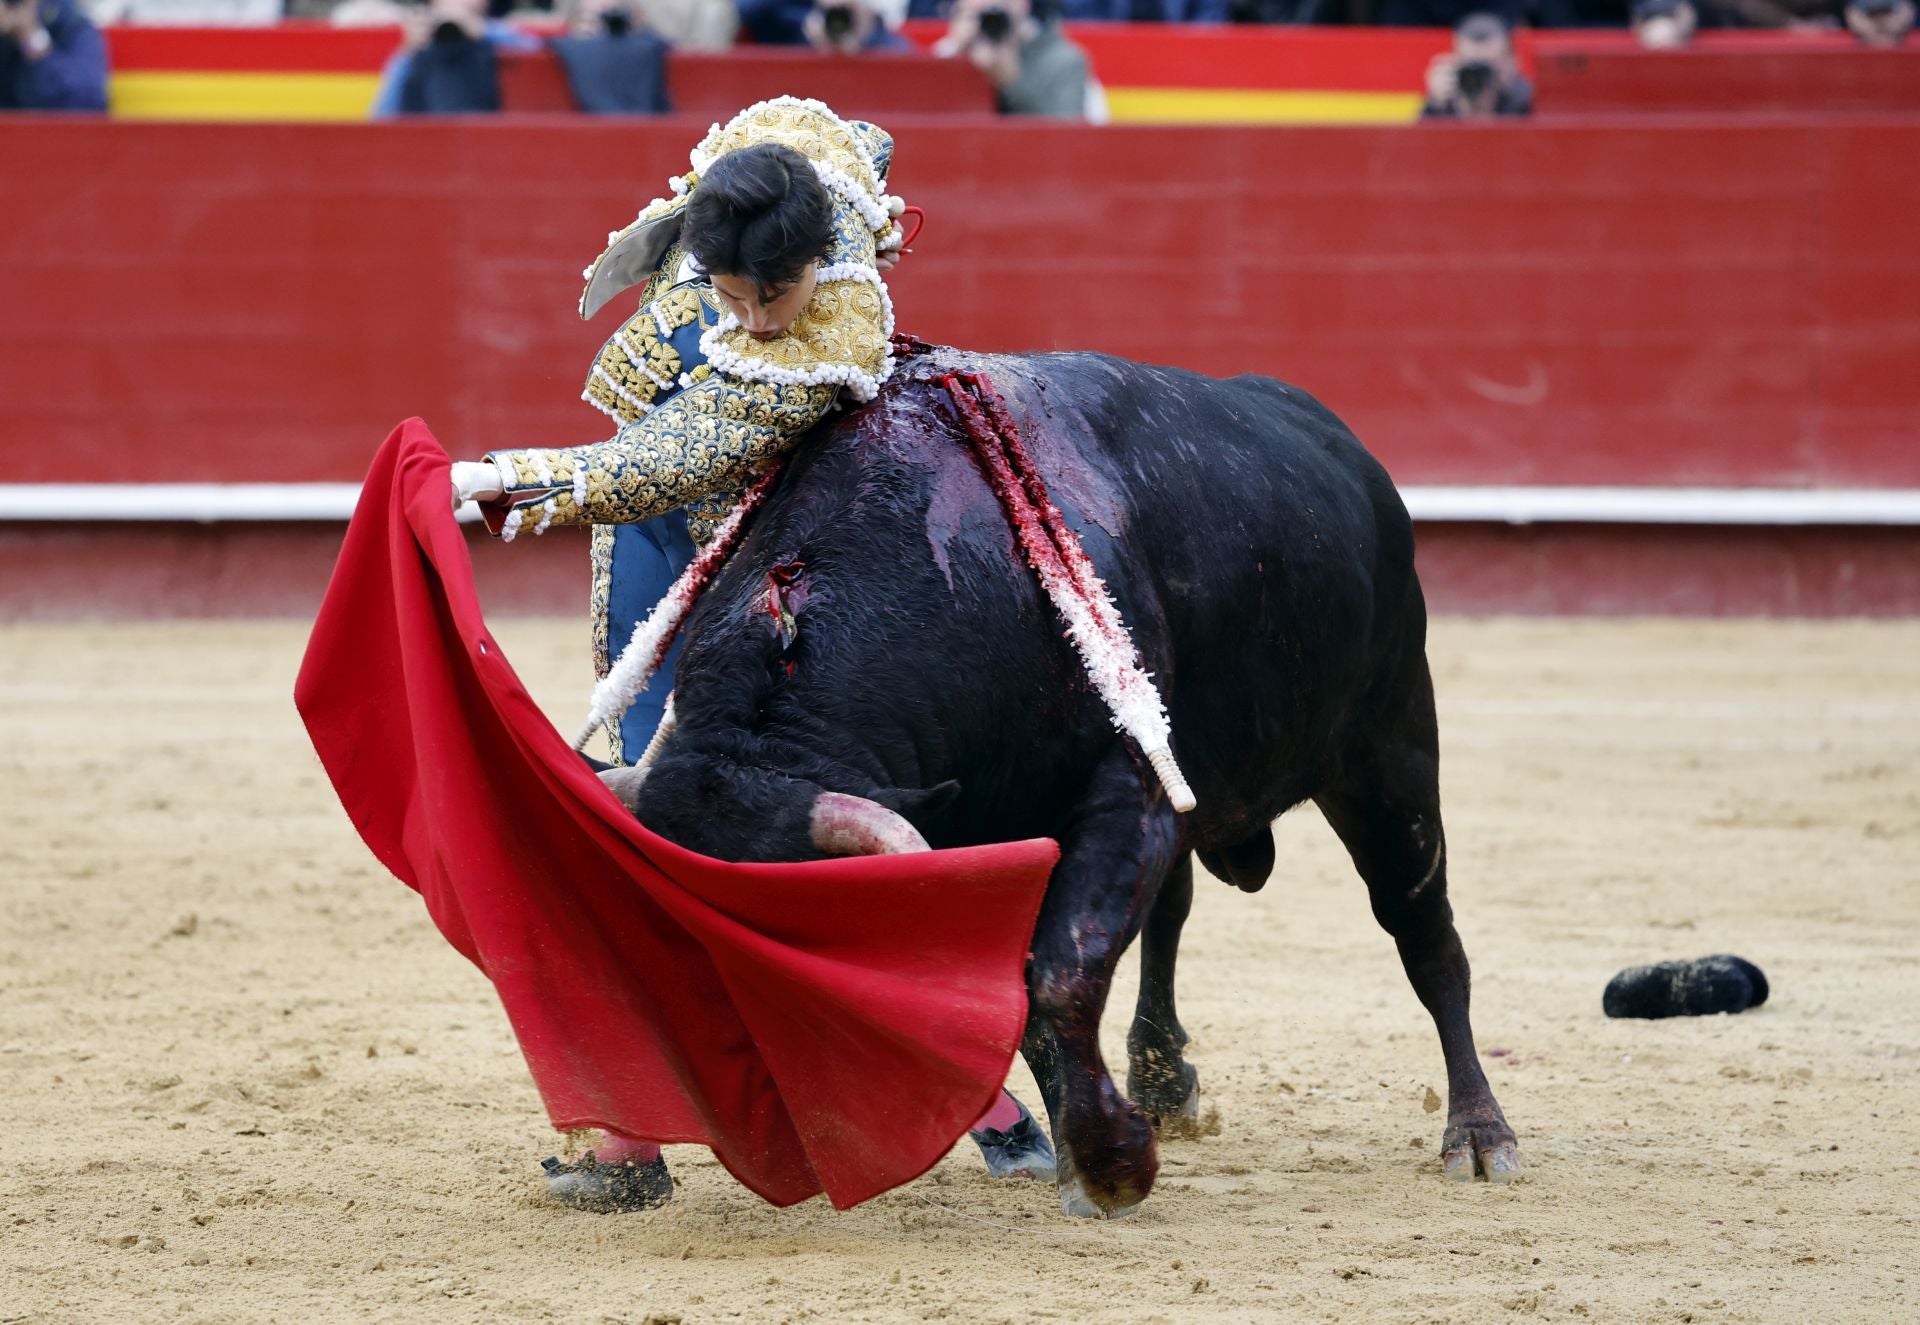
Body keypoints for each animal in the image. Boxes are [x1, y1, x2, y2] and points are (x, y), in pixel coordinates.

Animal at [622, 345, 1520, 1213]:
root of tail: (1346, 451)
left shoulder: (1131, 800)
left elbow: (1059, 973)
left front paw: (1111, 1164)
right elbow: (1024, 994)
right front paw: (1092, 1148)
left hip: (1390, 748)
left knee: (1423, 931)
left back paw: (1480, 1135)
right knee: (1175, 908)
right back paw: (1162, 1077)